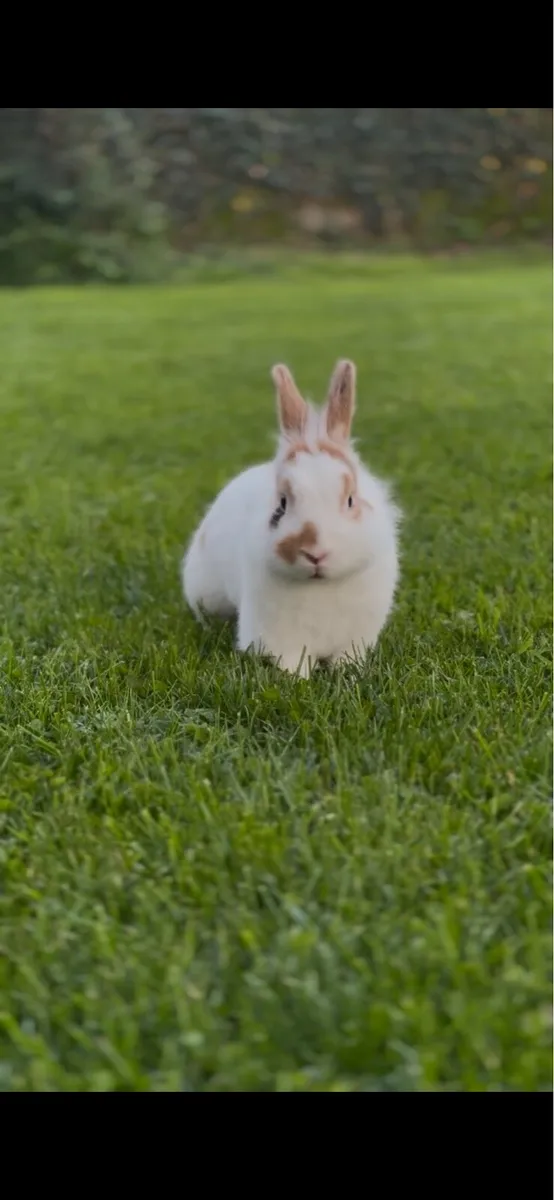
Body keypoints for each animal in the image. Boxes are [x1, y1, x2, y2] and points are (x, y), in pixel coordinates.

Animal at [182, 359, 400, 677]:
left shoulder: (356, 636)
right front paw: (298, 678)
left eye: (350, 499)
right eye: (281, 505)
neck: (321, 586)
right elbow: (292, 662)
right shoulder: (279, 638)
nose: (315, 553)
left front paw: (345, 672)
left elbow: (347, 658)